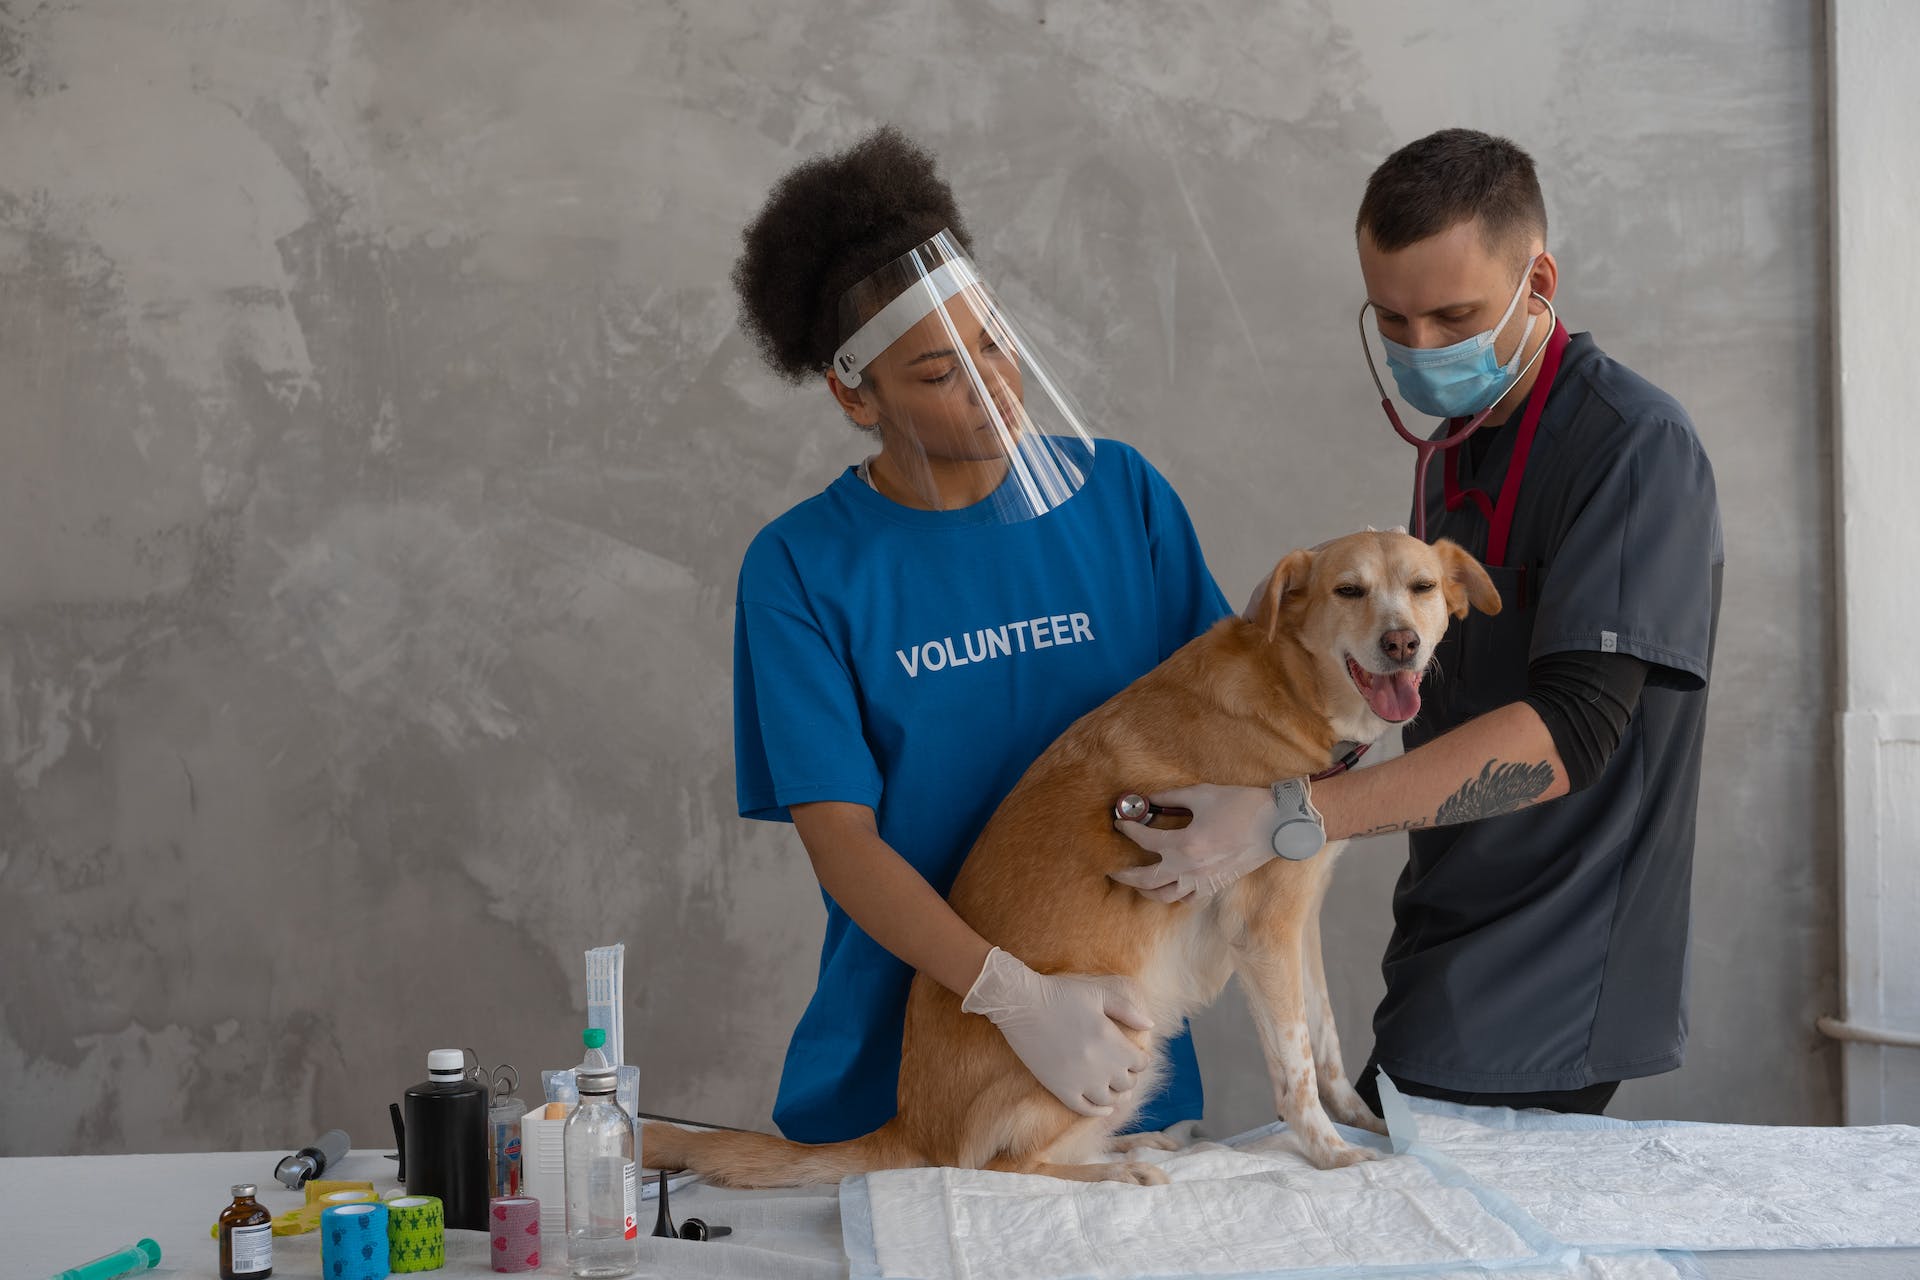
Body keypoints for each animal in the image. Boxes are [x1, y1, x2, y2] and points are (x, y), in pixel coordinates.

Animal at [645, 533, 1497, 1189]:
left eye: (1421, 588)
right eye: (1350, 590)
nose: (1402, 642)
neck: (1286, 687)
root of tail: (910, 1128)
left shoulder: (1299, 924)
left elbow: (1323, 1041)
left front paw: (1364, 1122)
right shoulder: (1264, 932)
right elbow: (1291, 1069)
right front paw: (1327, 1153)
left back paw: (1140, 1140)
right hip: (1118, 1040)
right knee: (993, 1168)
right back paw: (1117, 1170)